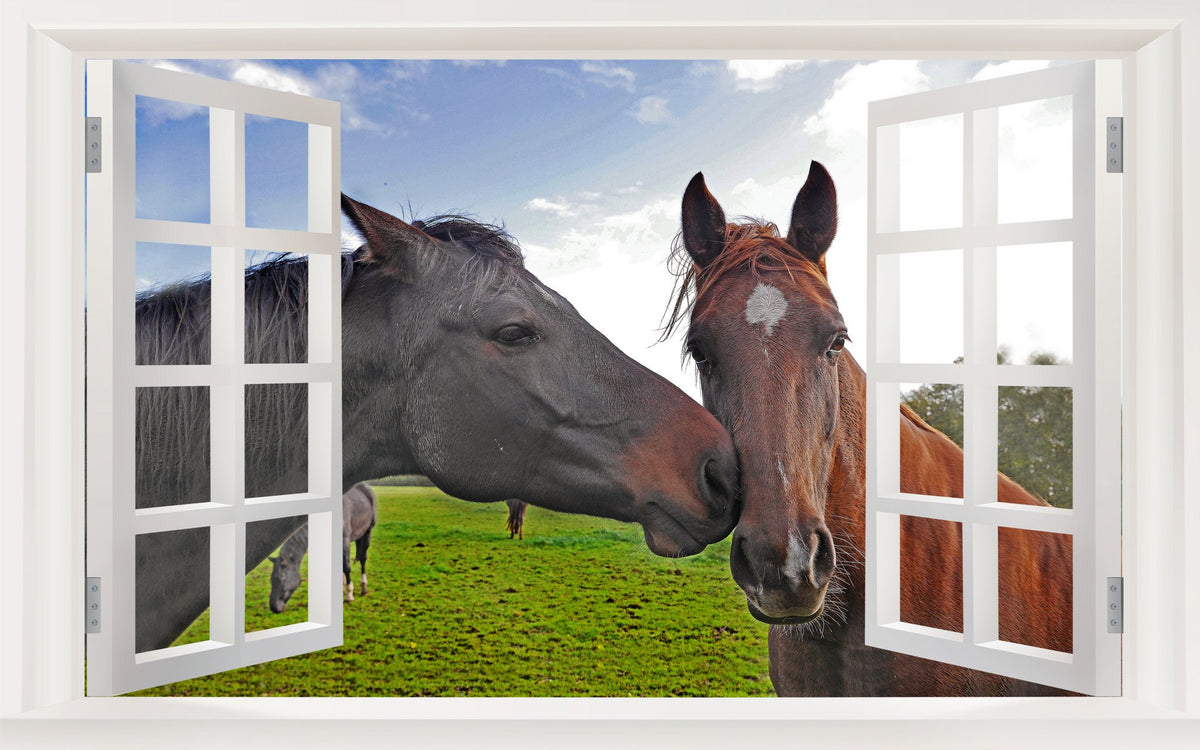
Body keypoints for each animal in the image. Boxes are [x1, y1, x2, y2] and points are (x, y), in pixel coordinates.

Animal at [268, 482, 376, 612]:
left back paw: (364, 587)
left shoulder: (344, 540)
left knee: (363, 559)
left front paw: (349, 594)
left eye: (281, 578)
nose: (274, 607)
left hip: (367, 533)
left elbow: (346, 567)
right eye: (271, 579)